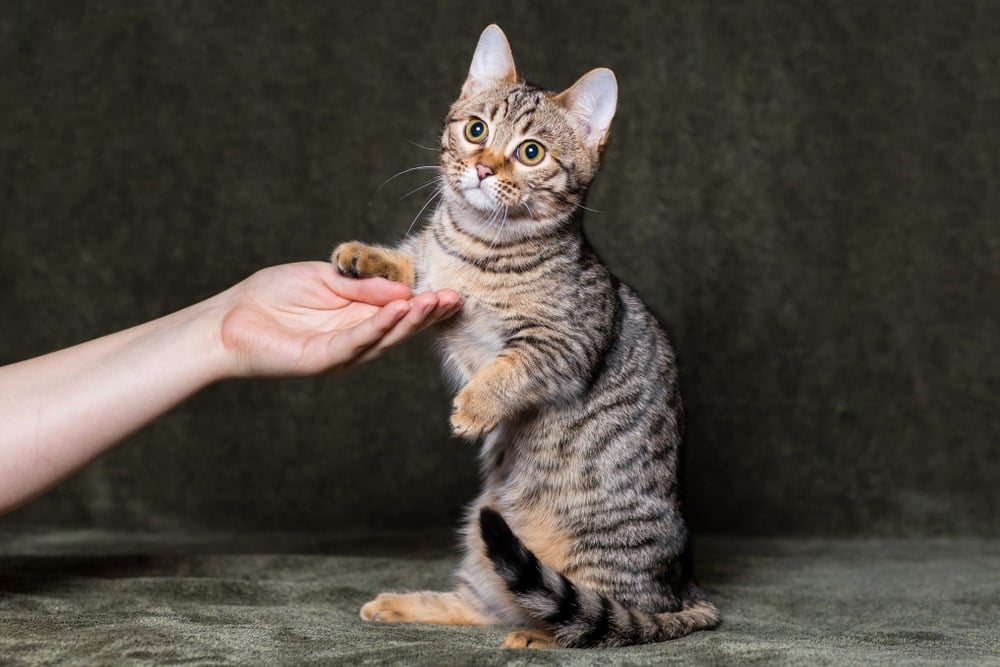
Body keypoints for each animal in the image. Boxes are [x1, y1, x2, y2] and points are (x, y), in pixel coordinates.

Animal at [334, 24, 720, 648]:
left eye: (530, 152)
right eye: (476, 130)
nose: (483, 169)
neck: (476, 246)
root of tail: (685, 591)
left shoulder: (562, 344)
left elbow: (509, 369)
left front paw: (473, 408)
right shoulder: (431, 273)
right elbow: (412, 264)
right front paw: (364, 257)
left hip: (589, 554)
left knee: (594, 616)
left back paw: (543, 635)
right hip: (481, 536)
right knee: (489, 602)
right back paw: (399, 605)